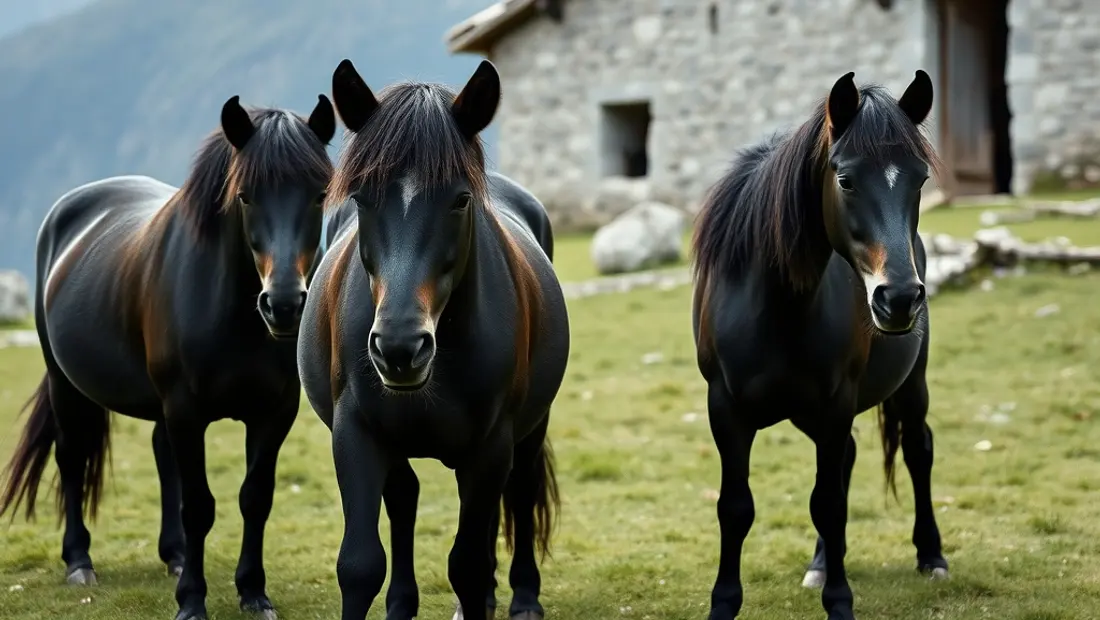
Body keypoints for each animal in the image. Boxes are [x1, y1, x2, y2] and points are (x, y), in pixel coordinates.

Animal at [0, 94, 336, 620]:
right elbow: (198, 505)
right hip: (65, 384)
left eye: (320, 193)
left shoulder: (274, 412)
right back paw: (79, 561)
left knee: (161, 455)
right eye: (245, 196)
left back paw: (175, 555)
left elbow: (255, 498)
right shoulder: (186, 410)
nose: (284, 305)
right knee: (71, 457)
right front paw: (192, 601)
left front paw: (253, 592)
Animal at [297, 58, 569, 620]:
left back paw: (521, 597)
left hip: (528, 430)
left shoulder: (492, 445)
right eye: (361, 198)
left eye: (460, 200)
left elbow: (467, 563)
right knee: (406, 499)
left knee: (519, 493)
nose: (400, 348)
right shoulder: (355, 433)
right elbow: (360, 564)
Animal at [690, 70, 949, 620]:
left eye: (920, 180)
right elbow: (735, 507)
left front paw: (840, 602)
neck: (778, 308)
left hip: (909, 385)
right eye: (845, 179)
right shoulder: (726, 409)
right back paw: (822, 563)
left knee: (918, 449)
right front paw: (724, 603)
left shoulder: (835, 405)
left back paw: (931, 555)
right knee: (849, 458)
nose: (898, 298)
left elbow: (828, 504)